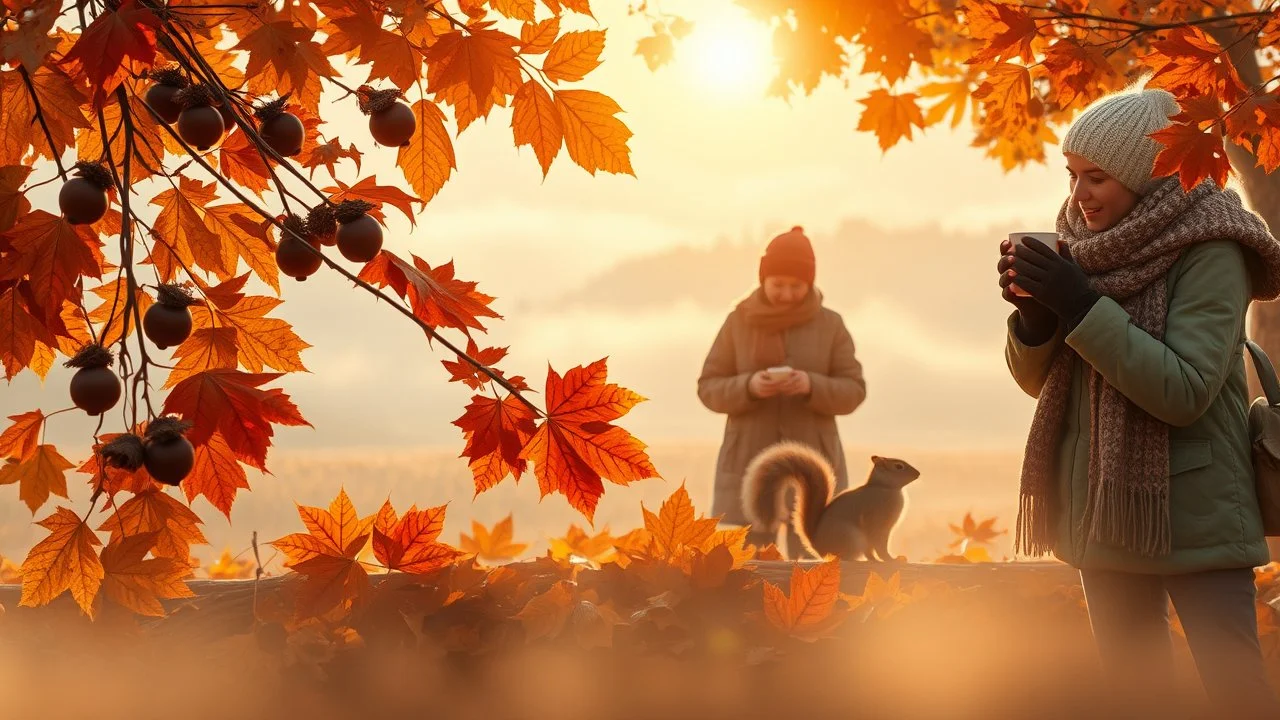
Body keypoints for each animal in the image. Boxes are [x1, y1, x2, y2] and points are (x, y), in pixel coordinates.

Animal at [742, 438, 921, 561]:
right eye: (898, 466)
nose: (918, 473)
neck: (884, 488)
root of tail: (819, 548)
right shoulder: (877, 524)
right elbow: (879, 547)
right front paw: (891, 560)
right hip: (852, 537)